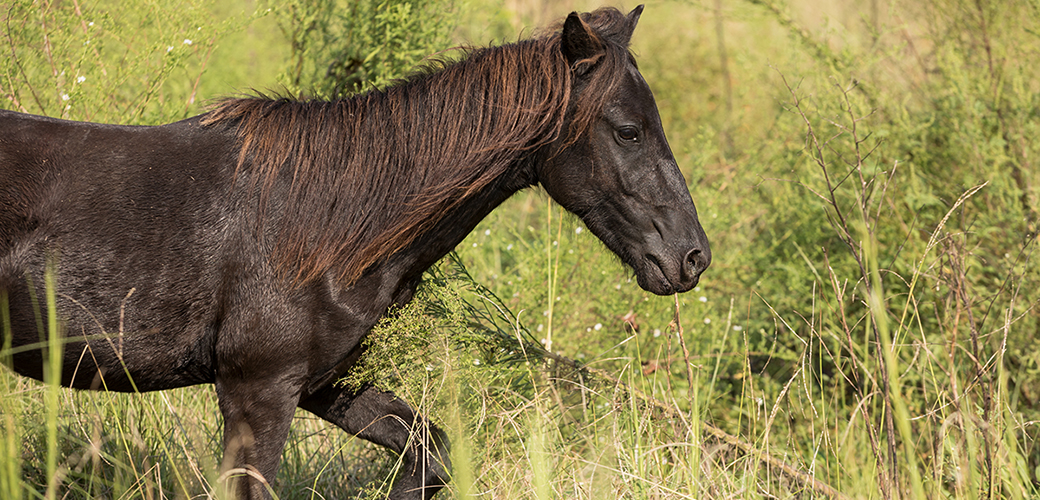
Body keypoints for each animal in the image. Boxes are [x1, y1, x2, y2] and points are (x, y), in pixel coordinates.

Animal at [0, 4, 707, 498]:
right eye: (629, 131)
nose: (692, 257)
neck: (328, 224)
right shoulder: (257, 391)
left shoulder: (327, 384)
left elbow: (431, 455)